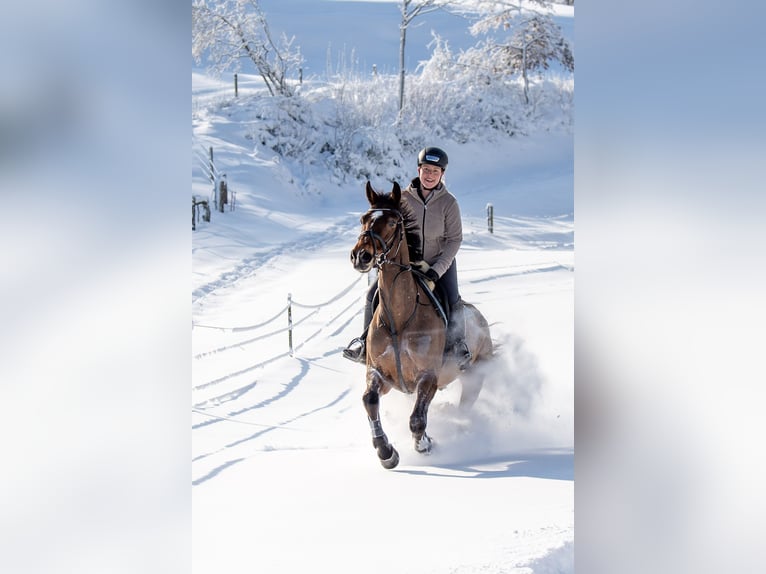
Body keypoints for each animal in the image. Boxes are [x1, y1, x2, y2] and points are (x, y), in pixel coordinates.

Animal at [352, 182, 496, 470]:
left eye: (393, 222)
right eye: (363, 219)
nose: (361, 256)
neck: (399, 318)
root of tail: (481, 320)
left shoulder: (428, 377)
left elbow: (417, 420)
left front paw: (425, 444)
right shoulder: (379, 374)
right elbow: (370, 400)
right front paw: (386, 452)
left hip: (475, 374)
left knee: (463, 408)